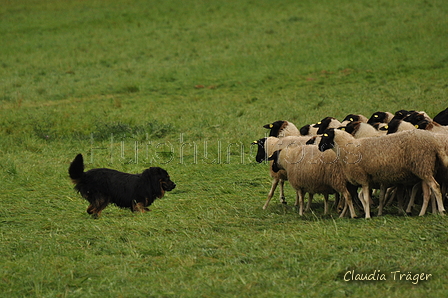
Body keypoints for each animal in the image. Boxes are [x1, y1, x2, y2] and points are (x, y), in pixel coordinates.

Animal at [316, 129, 446, 218]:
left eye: (325, 137)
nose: (319, 147)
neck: (348, 148)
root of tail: (434, 142)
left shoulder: (362, 178)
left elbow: (365, 197)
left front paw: (367, 215)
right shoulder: (366, 179)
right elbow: (361, 197)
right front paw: (367, 211)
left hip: (423, 165)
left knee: (435, 187)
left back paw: (442, 211)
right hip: (425, 169)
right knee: (428, 193)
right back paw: (423, 213)